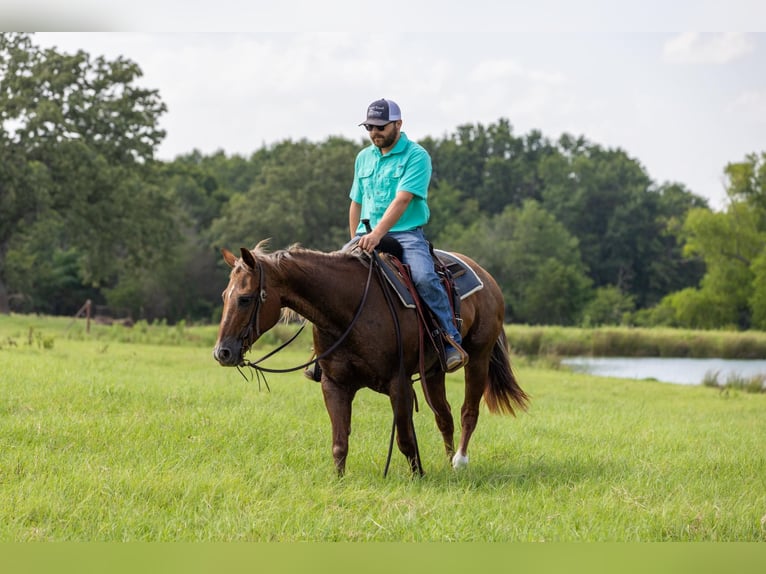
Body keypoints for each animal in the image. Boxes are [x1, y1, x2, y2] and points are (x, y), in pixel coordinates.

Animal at [213, 241, 529, 476]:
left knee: (467, 412)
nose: (222, 352)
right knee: (444, 416)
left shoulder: (399, 384)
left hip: (478, 358)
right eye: (224, 295)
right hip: (434, 372)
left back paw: (460, 461)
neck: (350, 309)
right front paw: (338, 481)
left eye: (245, 298)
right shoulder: (334, 384)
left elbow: (405, 439)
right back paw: (448, 461)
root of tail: (485, 276)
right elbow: (340, 442)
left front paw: (418, 477)